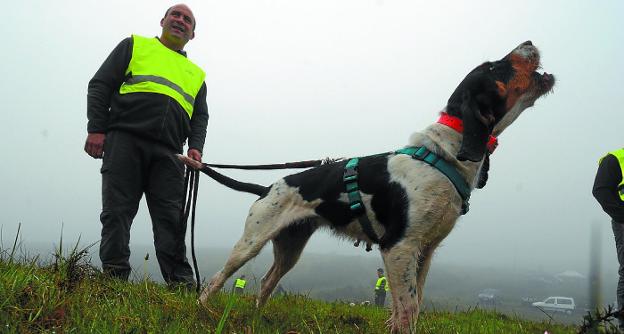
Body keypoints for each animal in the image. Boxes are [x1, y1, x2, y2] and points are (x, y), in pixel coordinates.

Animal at [180, 41, 556, 332]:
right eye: (495, 67)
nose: (528, 42)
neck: (443, 153)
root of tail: (267, 187)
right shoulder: (399, 247)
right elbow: (406, 310)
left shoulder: (426, 251)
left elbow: (414, 307)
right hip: (251, 242)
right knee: (217, 278)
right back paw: (202, 310)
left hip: (290, 248)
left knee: (267, 283)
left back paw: (258, 319)